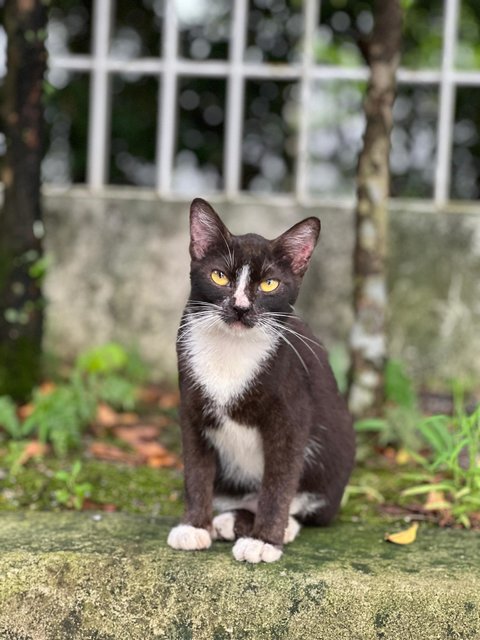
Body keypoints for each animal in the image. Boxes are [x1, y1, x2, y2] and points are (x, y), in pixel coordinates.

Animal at [167, 198, 354, 564]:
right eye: (219, 276)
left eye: (269, 284)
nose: (240, 307)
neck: (232, 349)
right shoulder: (191, 406)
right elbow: (196, 469)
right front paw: (194, 526)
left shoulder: (292, 411)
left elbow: (279, 481)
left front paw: (265, 540)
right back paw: (226, 520)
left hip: (334, 453)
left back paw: (278, 527)